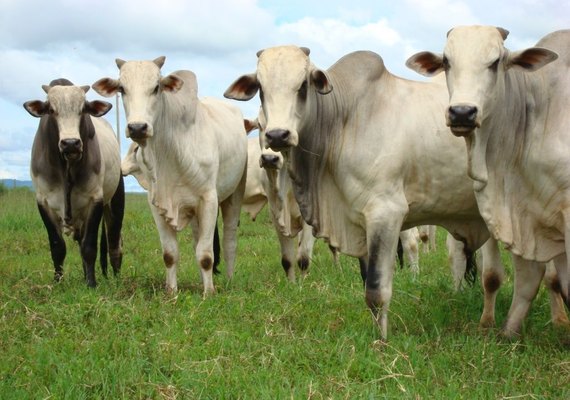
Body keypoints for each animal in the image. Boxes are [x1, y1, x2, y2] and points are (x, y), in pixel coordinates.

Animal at [23, 78, 124, 288]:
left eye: (83, 109)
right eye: (51, 110)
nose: (70, 143)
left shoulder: (95, 199)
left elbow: (89, 246)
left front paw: (91, 283)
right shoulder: (43, 201)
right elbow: (57, 247)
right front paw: (58, 282)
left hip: (115, 201)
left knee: (114, 243)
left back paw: (116, 277)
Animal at [92, 56, 245, 296]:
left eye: (156, 87)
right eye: (122, 89)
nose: (137, 127)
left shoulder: (209, 199)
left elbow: (206, 255)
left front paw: (208, 293)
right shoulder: (157, 204)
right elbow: (170, 253)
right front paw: (171, 291)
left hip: (234, 193)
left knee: (229, 238)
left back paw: (228, 279)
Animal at [222, 45, 506, 340]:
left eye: (303, 85)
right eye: (261, 89)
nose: (277, 136)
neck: (344, 121)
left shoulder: (386, 213)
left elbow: (376, 290)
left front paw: (381, 341)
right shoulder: (356, 220)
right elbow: (365, 278)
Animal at [404, 26, 568, 336]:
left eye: (495, 62)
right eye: (446, 61)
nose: (462, 112)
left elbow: (551, 277)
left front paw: (558, 322)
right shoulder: (512, 217)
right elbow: (496, 275)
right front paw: (492, 326)